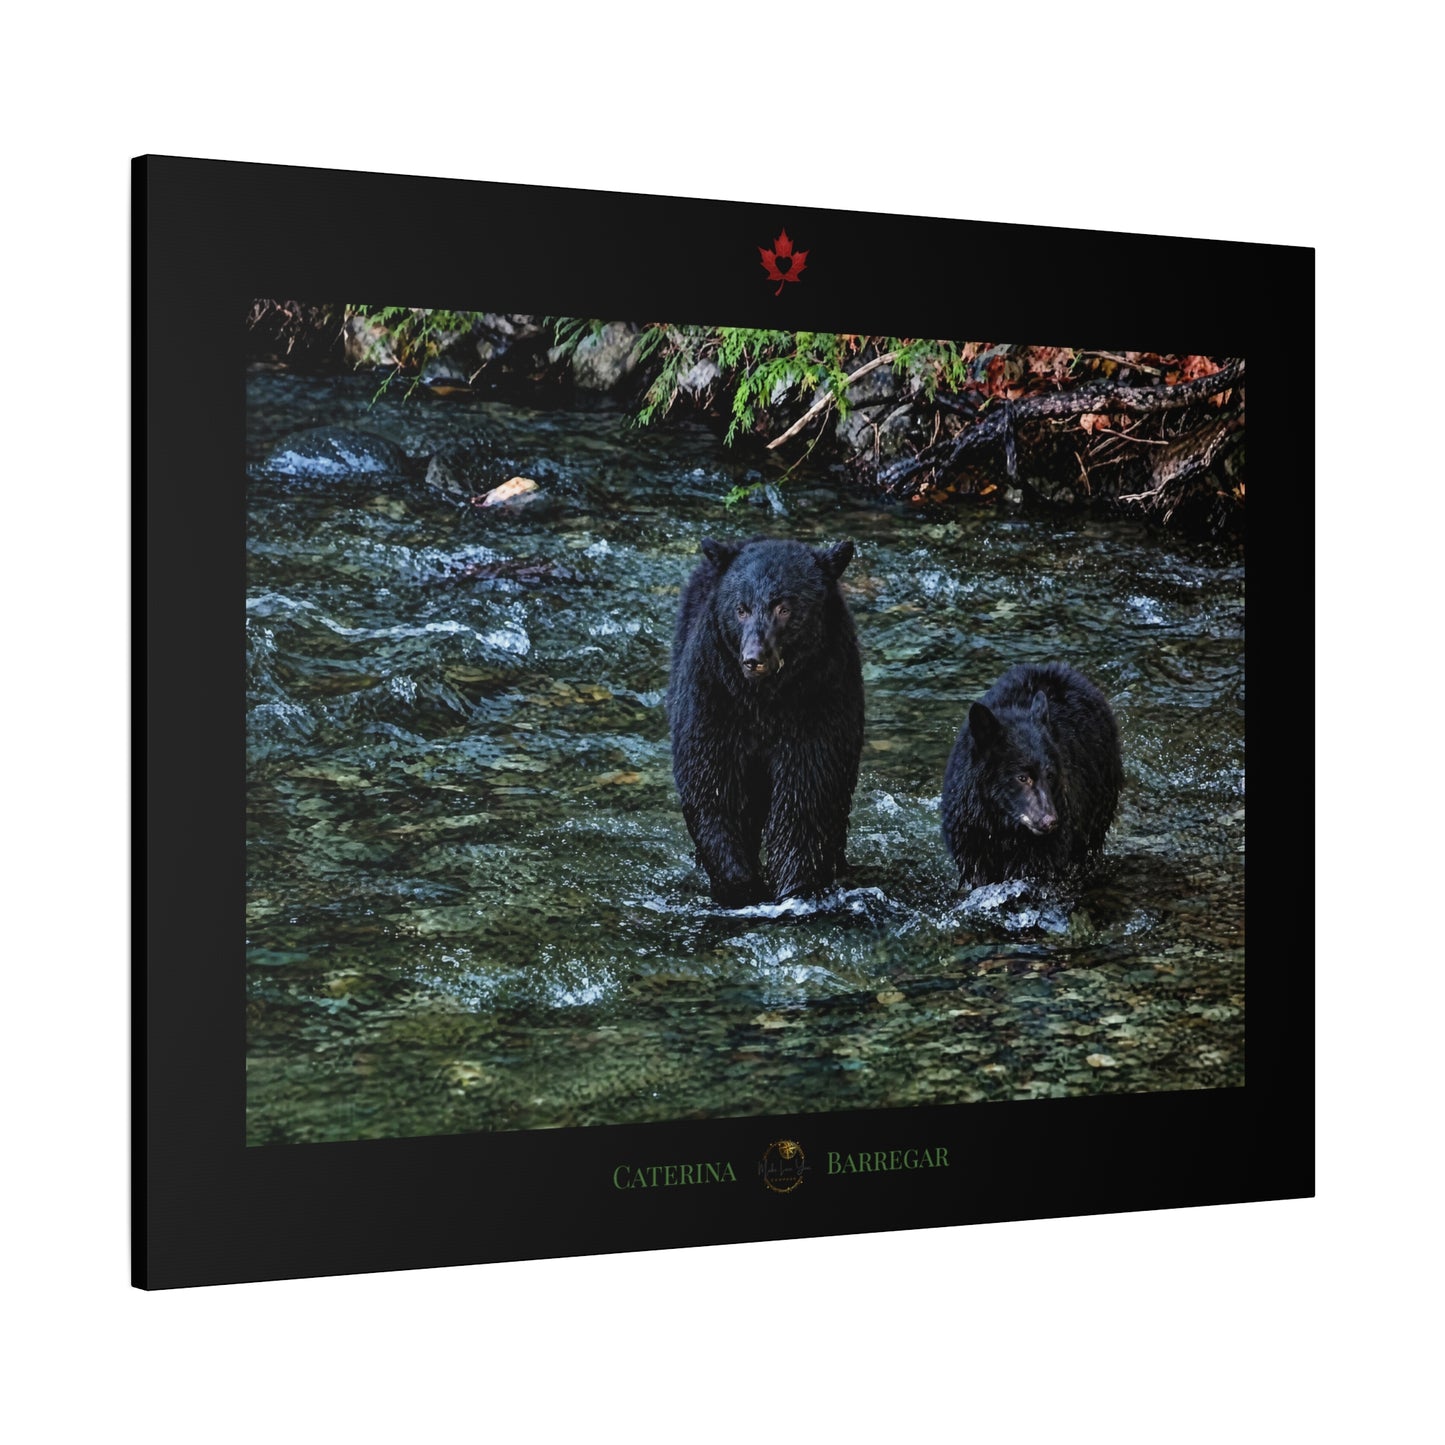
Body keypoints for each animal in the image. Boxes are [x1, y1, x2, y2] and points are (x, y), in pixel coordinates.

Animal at [667, 536, 864, 906]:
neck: (764, 701)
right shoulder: (715, 696)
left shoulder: (819, 705)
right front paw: (741, 887)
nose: (753, 658)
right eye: (741, 608)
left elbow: (807, 796)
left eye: (783, 607)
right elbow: (713, 786)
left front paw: (794, 888)